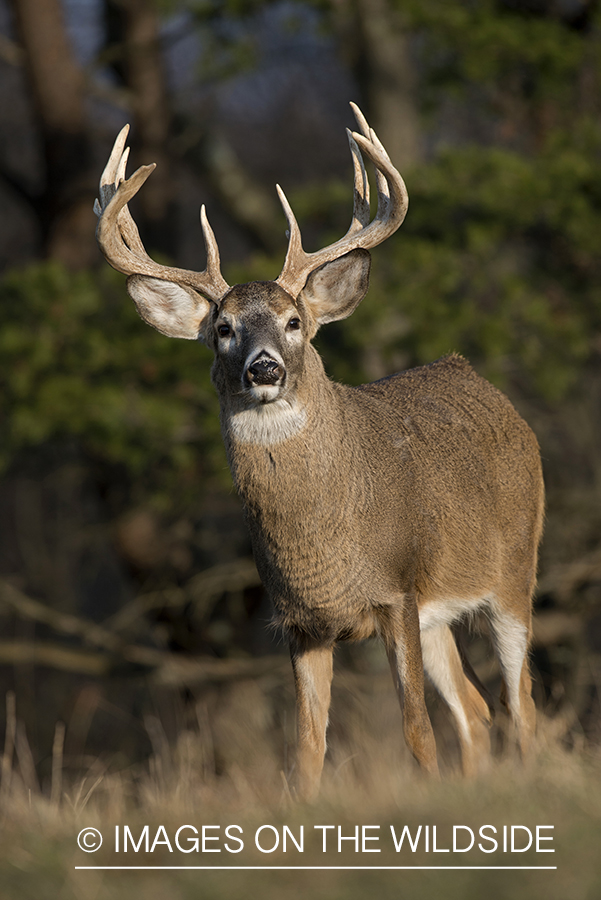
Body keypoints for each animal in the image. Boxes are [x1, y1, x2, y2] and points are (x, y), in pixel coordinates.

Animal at [94, 102, 544, 800]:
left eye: (295, 322)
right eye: (222, 329)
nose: (264, 368)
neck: (323, 539)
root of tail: (485, 385)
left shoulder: (394, 590)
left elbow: (416, 730)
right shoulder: (301, 620)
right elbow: (305, 749)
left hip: (514, 573)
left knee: (522, 704)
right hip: (439, 612)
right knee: (476, 709)